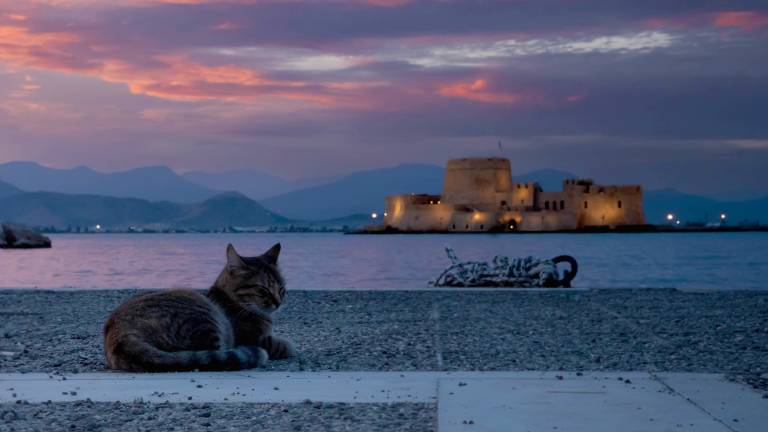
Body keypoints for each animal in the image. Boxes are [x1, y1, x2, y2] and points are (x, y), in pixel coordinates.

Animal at [103, 243, 294, 372]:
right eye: (263, 290)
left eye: (282, 289)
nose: (278, 302)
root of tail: (119, 333)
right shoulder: (248, 337)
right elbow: (280, 343)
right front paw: (285, 344)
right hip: (206, 317)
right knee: (216, 354)